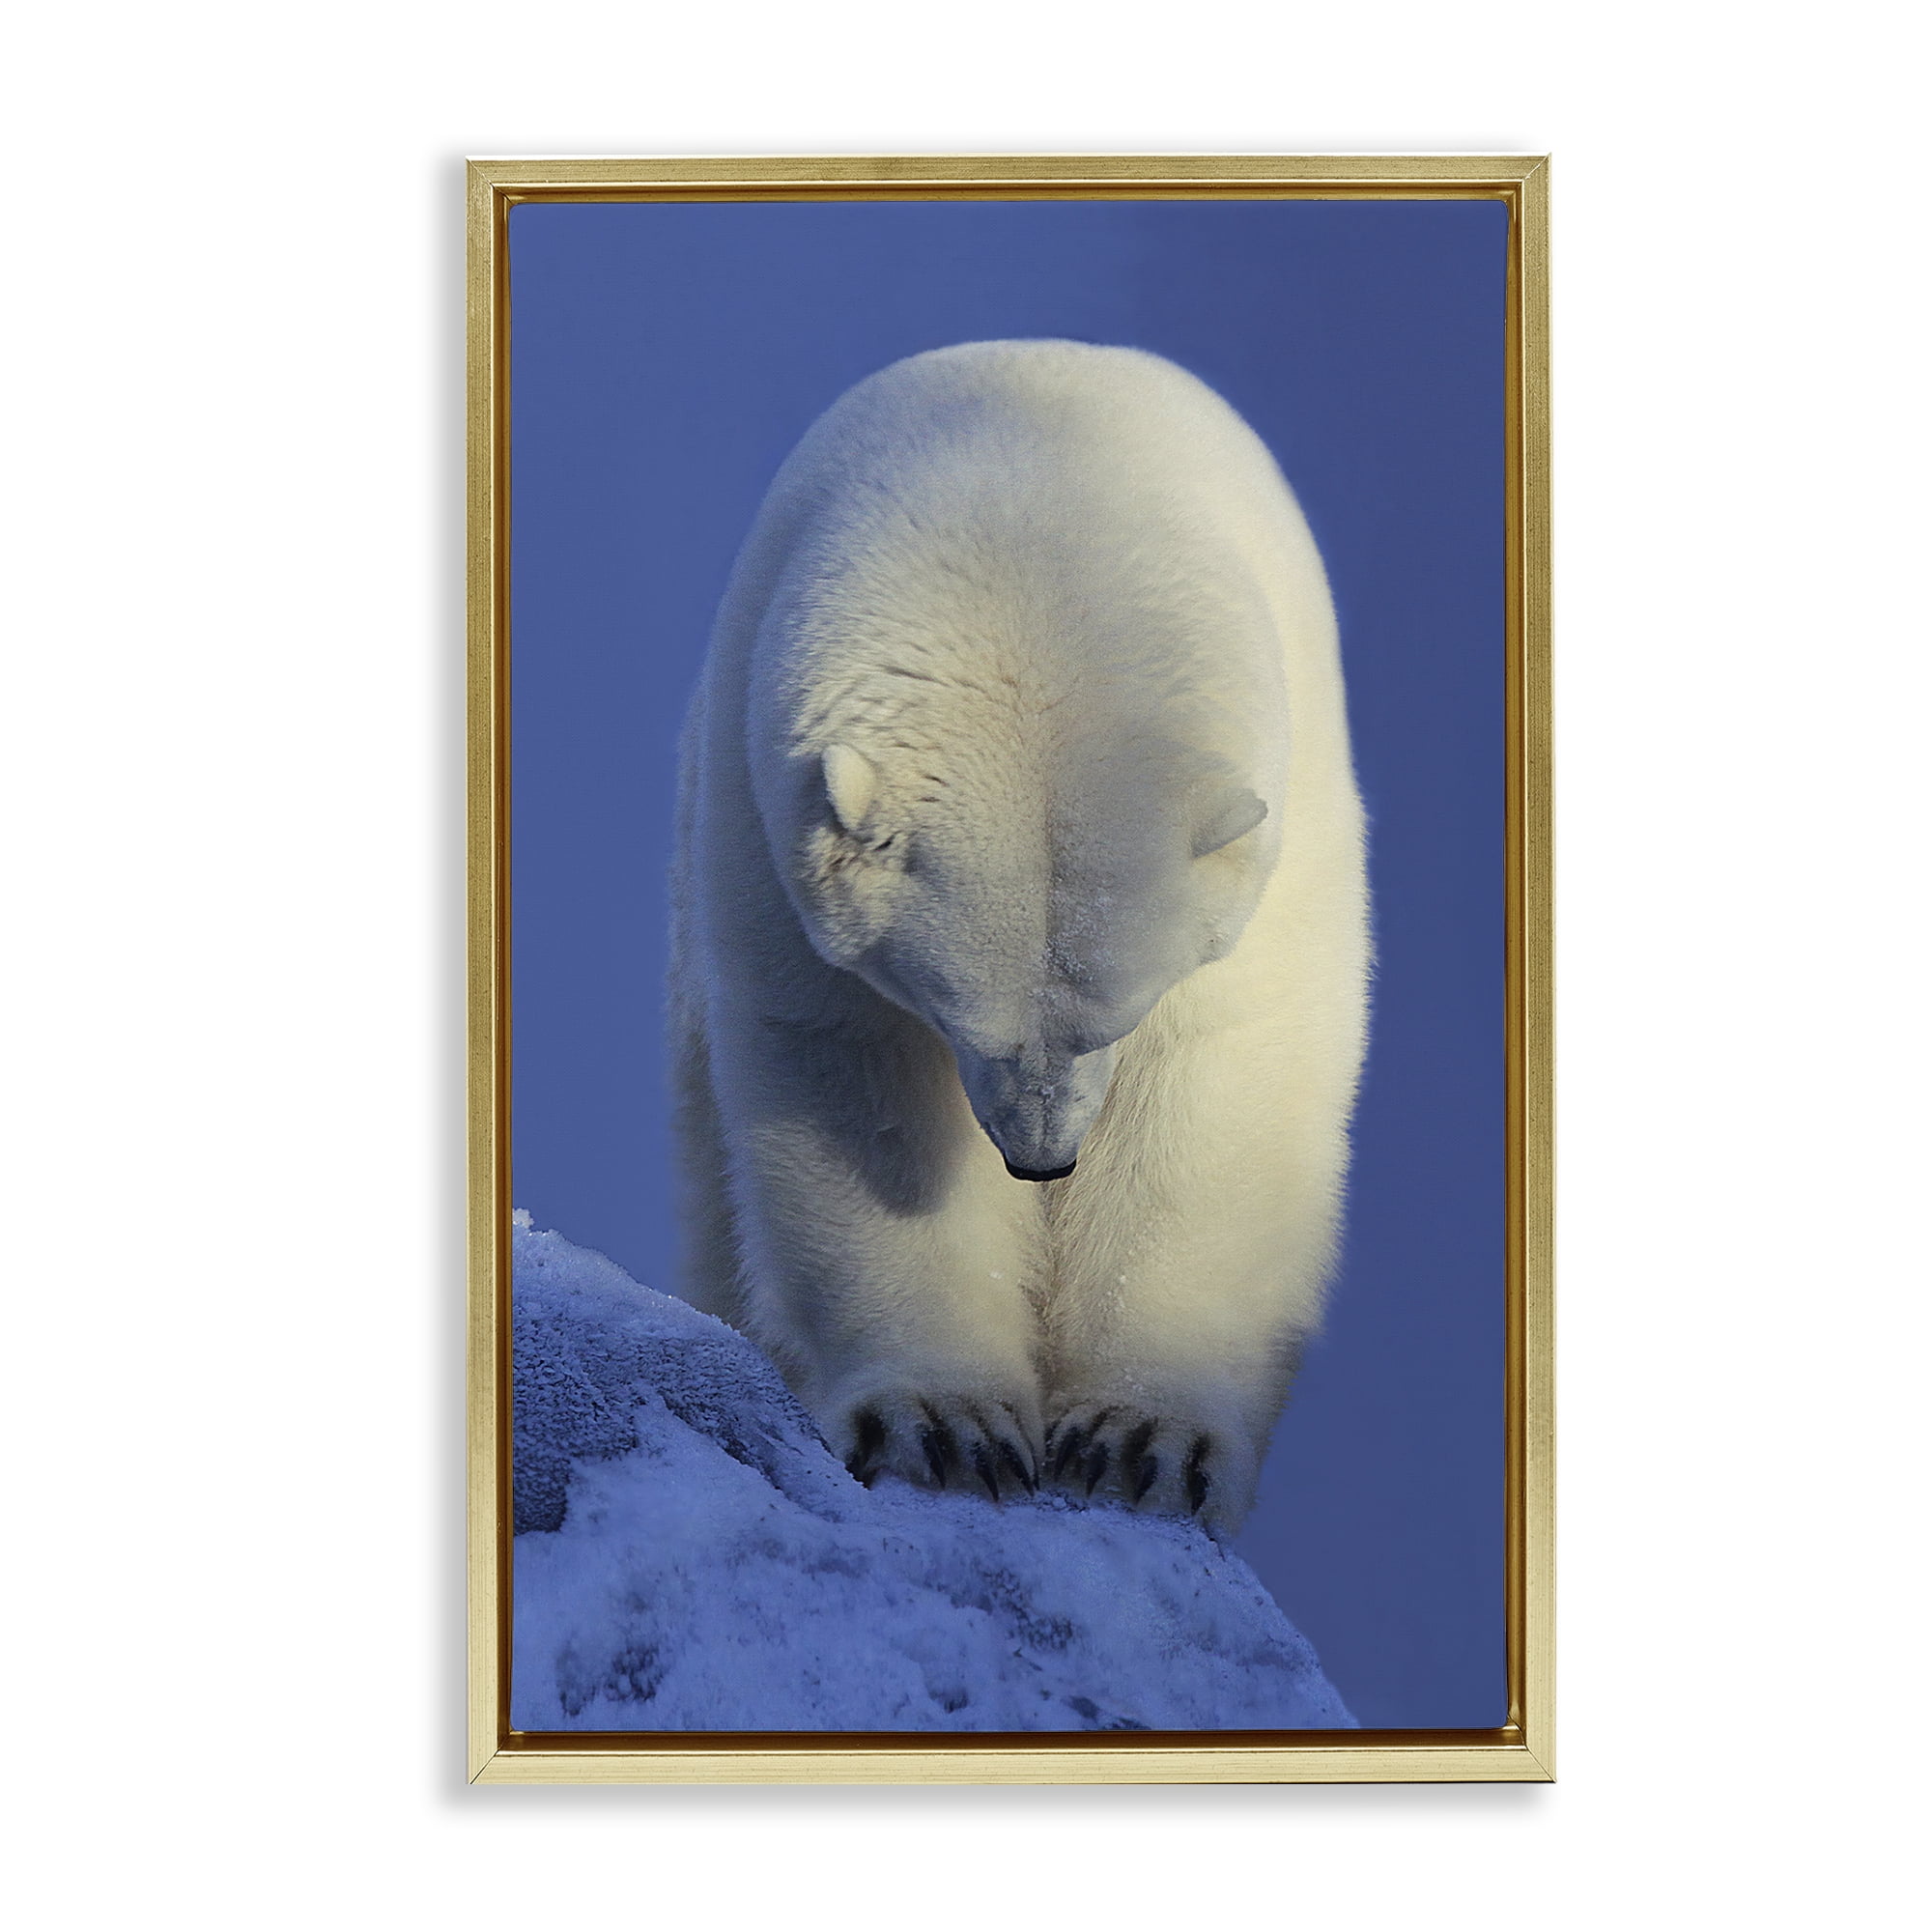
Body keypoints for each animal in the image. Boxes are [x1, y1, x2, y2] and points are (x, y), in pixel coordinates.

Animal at [669, 340, 1369, 1532]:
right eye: (955, 1012)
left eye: (1117, 1014)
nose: (1042, 1159)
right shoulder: (763, 829)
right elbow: (857, 1088)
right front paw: (944, 1429)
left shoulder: (1282, 831)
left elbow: (1222, 1083)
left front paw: (1140, 1443)